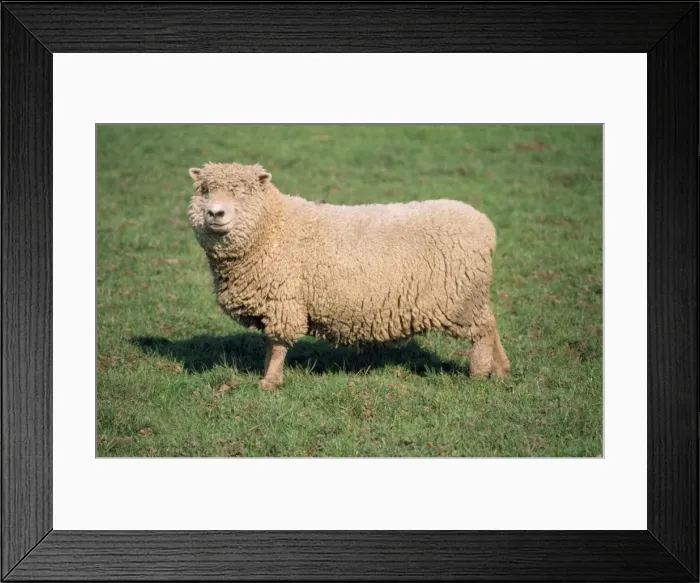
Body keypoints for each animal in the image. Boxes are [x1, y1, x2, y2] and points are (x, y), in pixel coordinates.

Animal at [187, 162, 510, 390]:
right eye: (204, 190)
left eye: (242, 191)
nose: (215, 213)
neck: (271, 227)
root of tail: (486, 226)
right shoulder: (274, 303)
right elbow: (270, 343)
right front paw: (268, 372)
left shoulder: (284, 300)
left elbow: (277, 345)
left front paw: (270, 381)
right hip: (471, 295)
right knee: (491, 323)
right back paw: (501, 369)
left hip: (461, 298)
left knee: (482, 332)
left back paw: (480, 373)